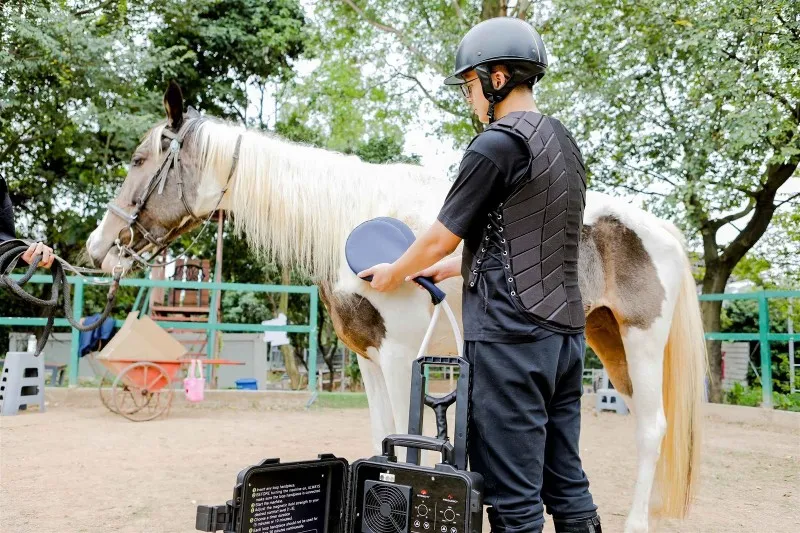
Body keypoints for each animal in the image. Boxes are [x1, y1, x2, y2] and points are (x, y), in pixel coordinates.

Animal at [86, 83, 707, 533]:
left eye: (139, 159)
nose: (99, 247)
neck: (349, 217)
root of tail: (664, 233)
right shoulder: (367, 359)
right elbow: (382, 438)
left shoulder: (399, 355)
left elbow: (411, 451)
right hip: (608, 346)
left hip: (641, 343)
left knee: (651, 429)